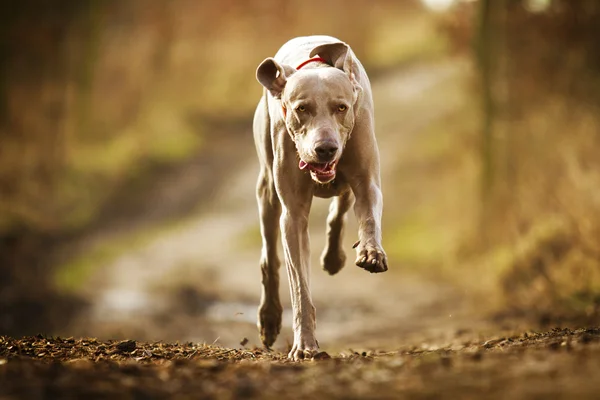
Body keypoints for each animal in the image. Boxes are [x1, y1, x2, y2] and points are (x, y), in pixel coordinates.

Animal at [252, 36, 384, 360]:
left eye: (341, 107)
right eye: (302, 108)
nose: (325, 148)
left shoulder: (366, 178)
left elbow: (369, 214)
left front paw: (371, 252)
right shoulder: (293, 214)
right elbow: (300, 286)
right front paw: (305, 345)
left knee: (341, 206)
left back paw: (335, 256)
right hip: (267, 190)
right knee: (269, 256)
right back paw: (269, 317)